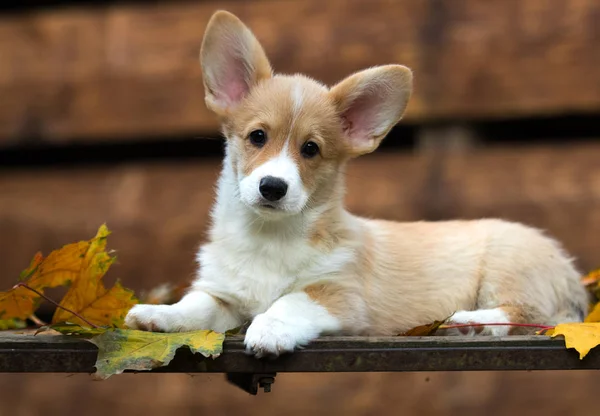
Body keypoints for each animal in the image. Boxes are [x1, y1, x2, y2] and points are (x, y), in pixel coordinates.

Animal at [124, 10, 588, 354]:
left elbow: (291, 300)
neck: (269, 238)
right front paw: (157, 314)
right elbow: (196, 303)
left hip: (509, 270)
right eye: (257, 137)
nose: (273, 187)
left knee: (532, 315)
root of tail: (571, 273)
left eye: (311, 149)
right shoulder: (225, 297)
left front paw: (268, 329)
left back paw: (470, 323)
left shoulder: (340, 295)